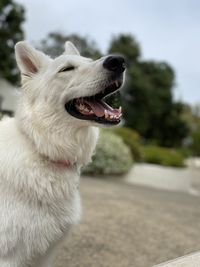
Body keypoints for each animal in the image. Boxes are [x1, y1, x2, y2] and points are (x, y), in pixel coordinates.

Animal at [0, 40, 125, 266]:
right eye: (66, 69)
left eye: (89, 60)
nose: (118, 61)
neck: (39, 146)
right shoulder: (9, 257)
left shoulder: (45, 254)